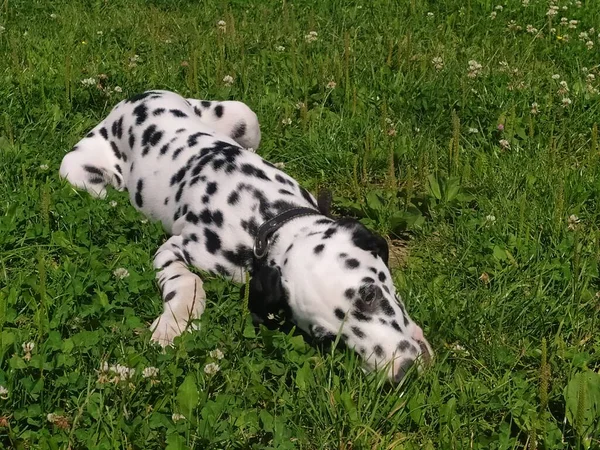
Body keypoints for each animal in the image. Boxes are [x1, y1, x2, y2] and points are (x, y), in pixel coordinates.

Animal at [61, 89, 434, 382]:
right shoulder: (173, 249)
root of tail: (129, 102)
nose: (399, 372)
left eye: (369, 294)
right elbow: (187, 281)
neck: (263, 218)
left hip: (244, 116)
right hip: (78, 174)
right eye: (327, 338)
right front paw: (174, 322)